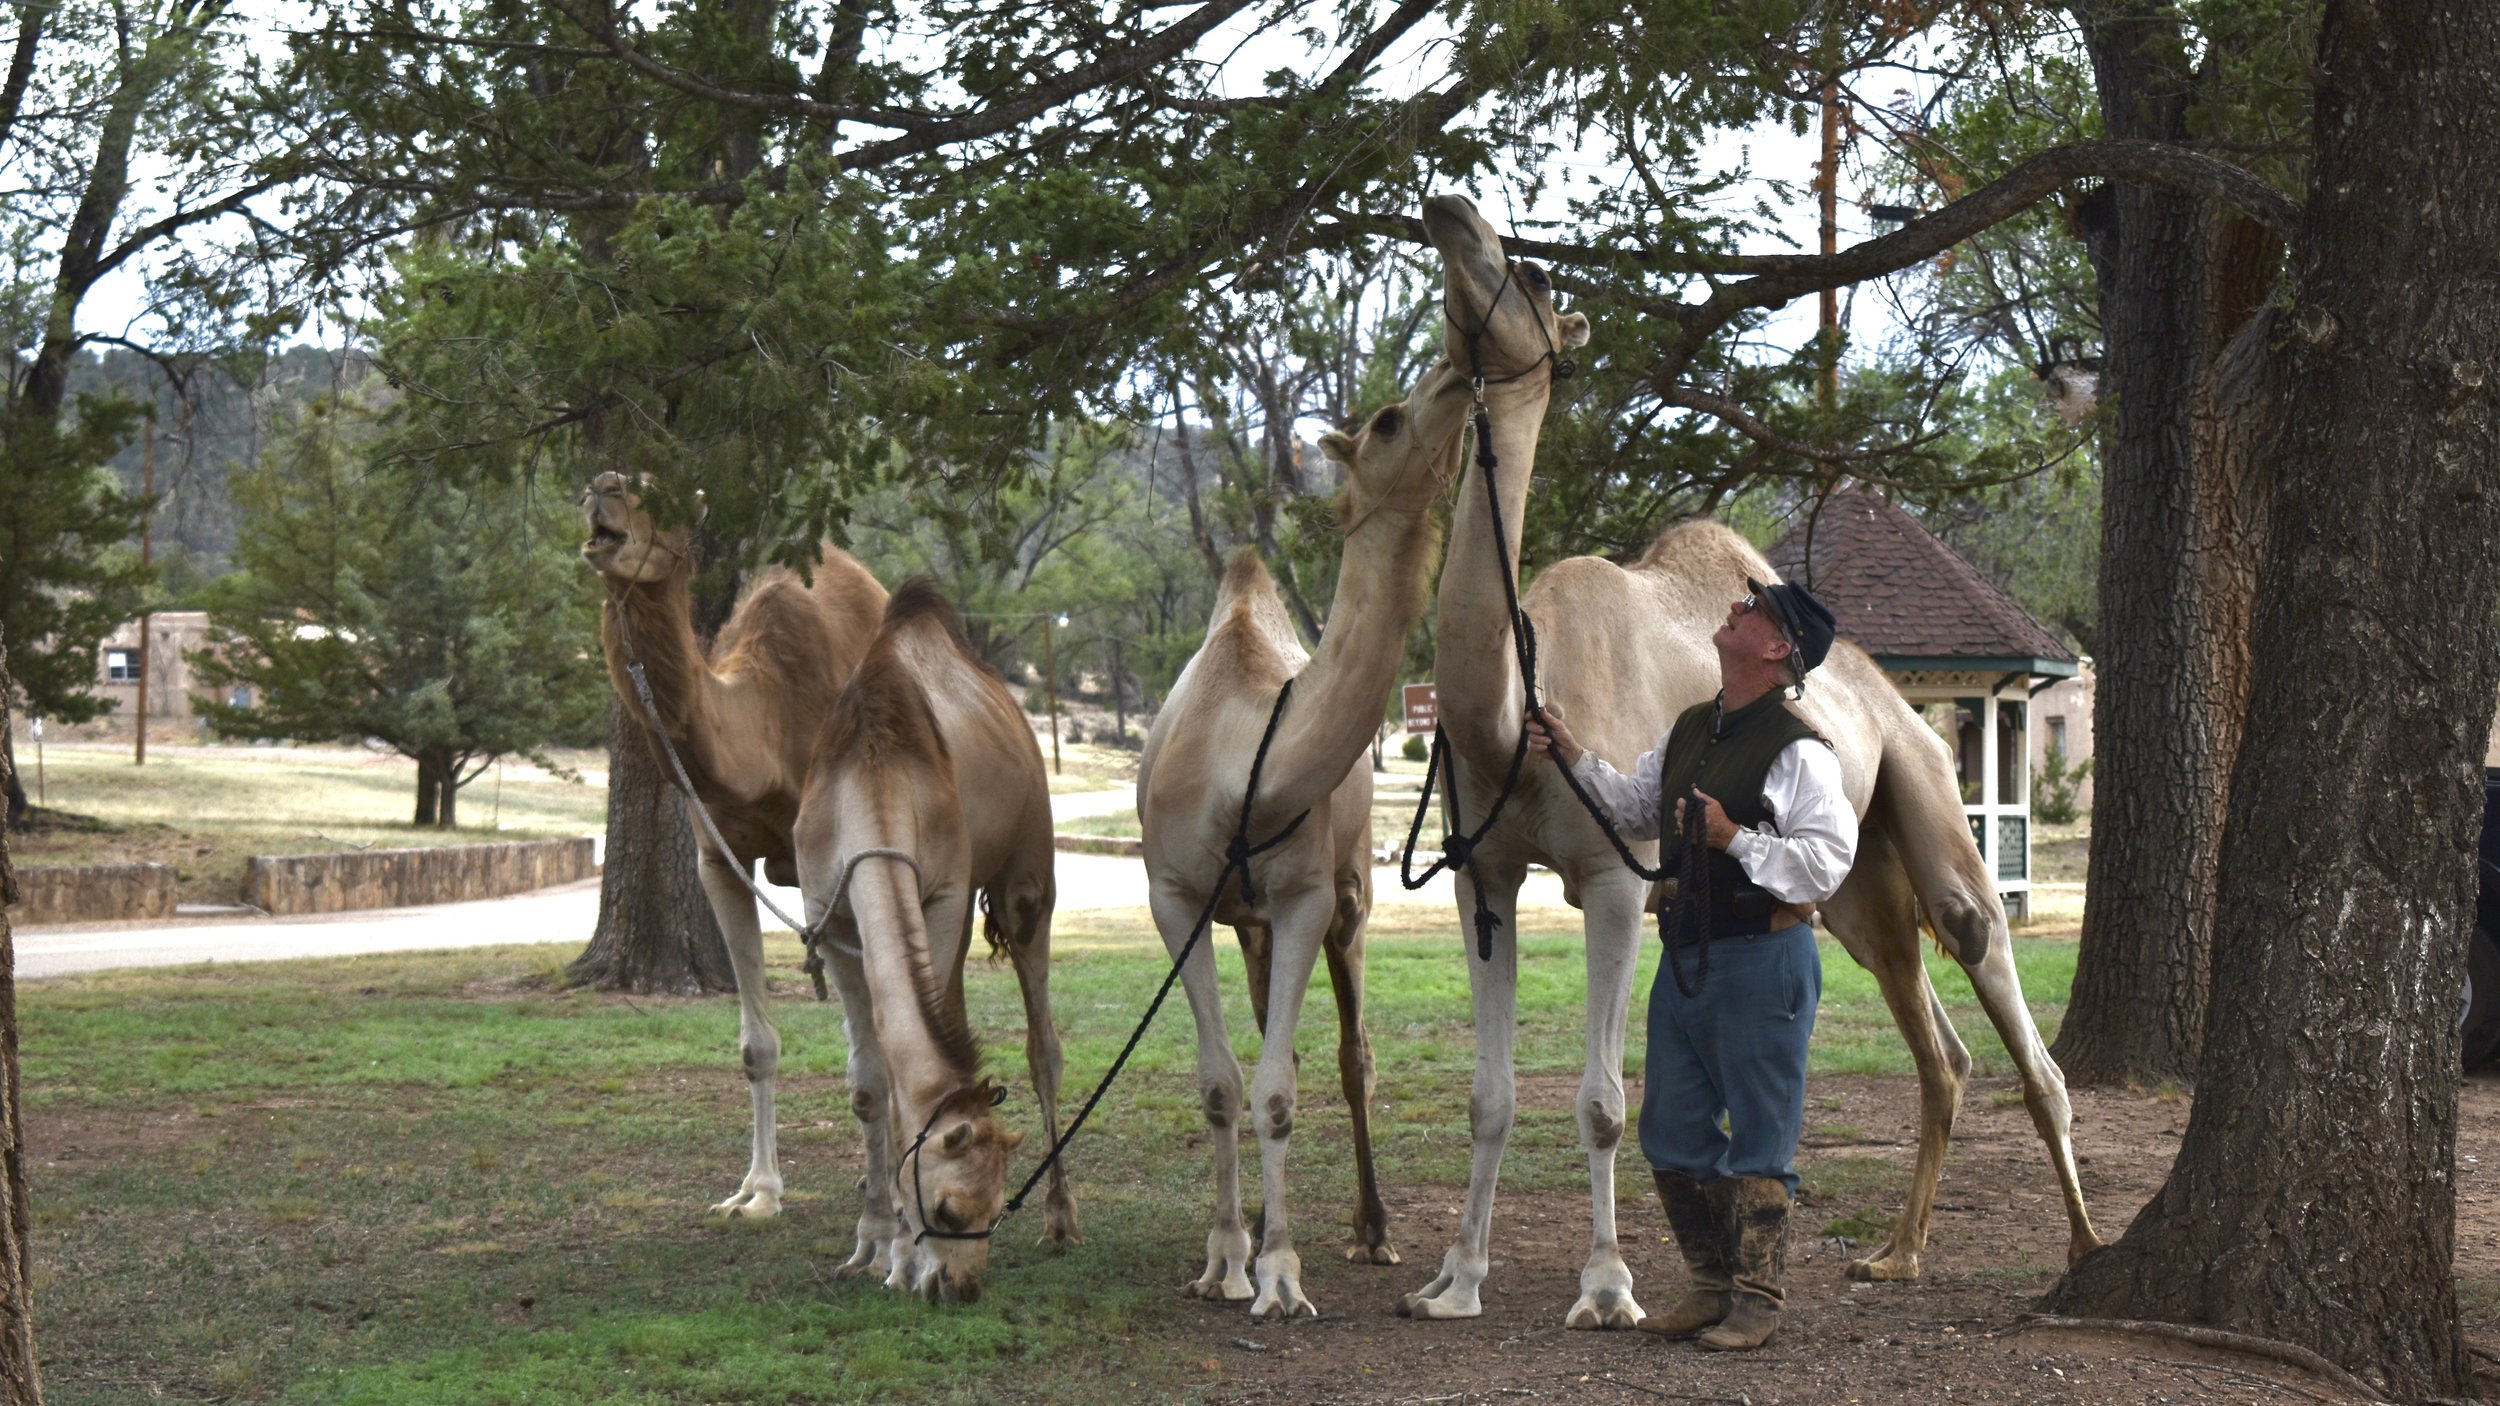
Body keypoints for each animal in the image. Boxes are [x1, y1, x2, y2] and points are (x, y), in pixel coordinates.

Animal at [583, 471, 888, 1220]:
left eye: (656, 496)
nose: (600, 489)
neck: (765, 726)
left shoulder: (823, 865)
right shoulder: (717, 856)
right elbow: (757, 1046)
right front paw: (757, 1193)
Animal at [792, 580, 1068, 1305]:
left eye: (997, 1211)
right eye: (946, 1209)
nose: (961, 1287)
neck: (874, 774)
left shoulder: (941, 895)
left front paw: (898, 1259)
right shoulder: (832, 918)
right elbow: (871, 1084)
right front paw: (873, 1246)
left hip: (1028, 874)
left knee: (1043, 1046)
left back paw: (1062, 1220)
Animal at [1135, 353, 1475, 1320]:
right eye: (1390, 419)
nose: (1460, 372)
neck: (1243, 766)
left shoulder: (1303, 896)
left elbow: (1280, 1089)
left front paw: (1280, 1273)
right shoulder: (1174, 898)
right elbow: (1222, 1083)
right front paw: (1224, 1256)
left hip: (1348, 896)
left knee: (1352, 1056)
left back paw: (1373, 1229)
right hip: (1244, 917)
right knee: (1263, 1039)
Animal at [1396, 194, 2100, 1330]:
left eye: (1535, 276)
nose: (1450, 208)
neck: (1512, 713)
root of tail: (1887, 698)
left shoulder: (1610, 873)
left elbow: (1603, 1101)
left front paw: (1607, 1287)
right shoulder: (1482, 875)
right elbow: (1489, 1095)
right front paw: (1454, 1280)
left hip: (1927, 788)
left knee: (1997, 979)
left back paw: (2078, 1247)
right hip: (1855, 886)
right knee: (1937, 1046)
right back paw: (1895, 1255)